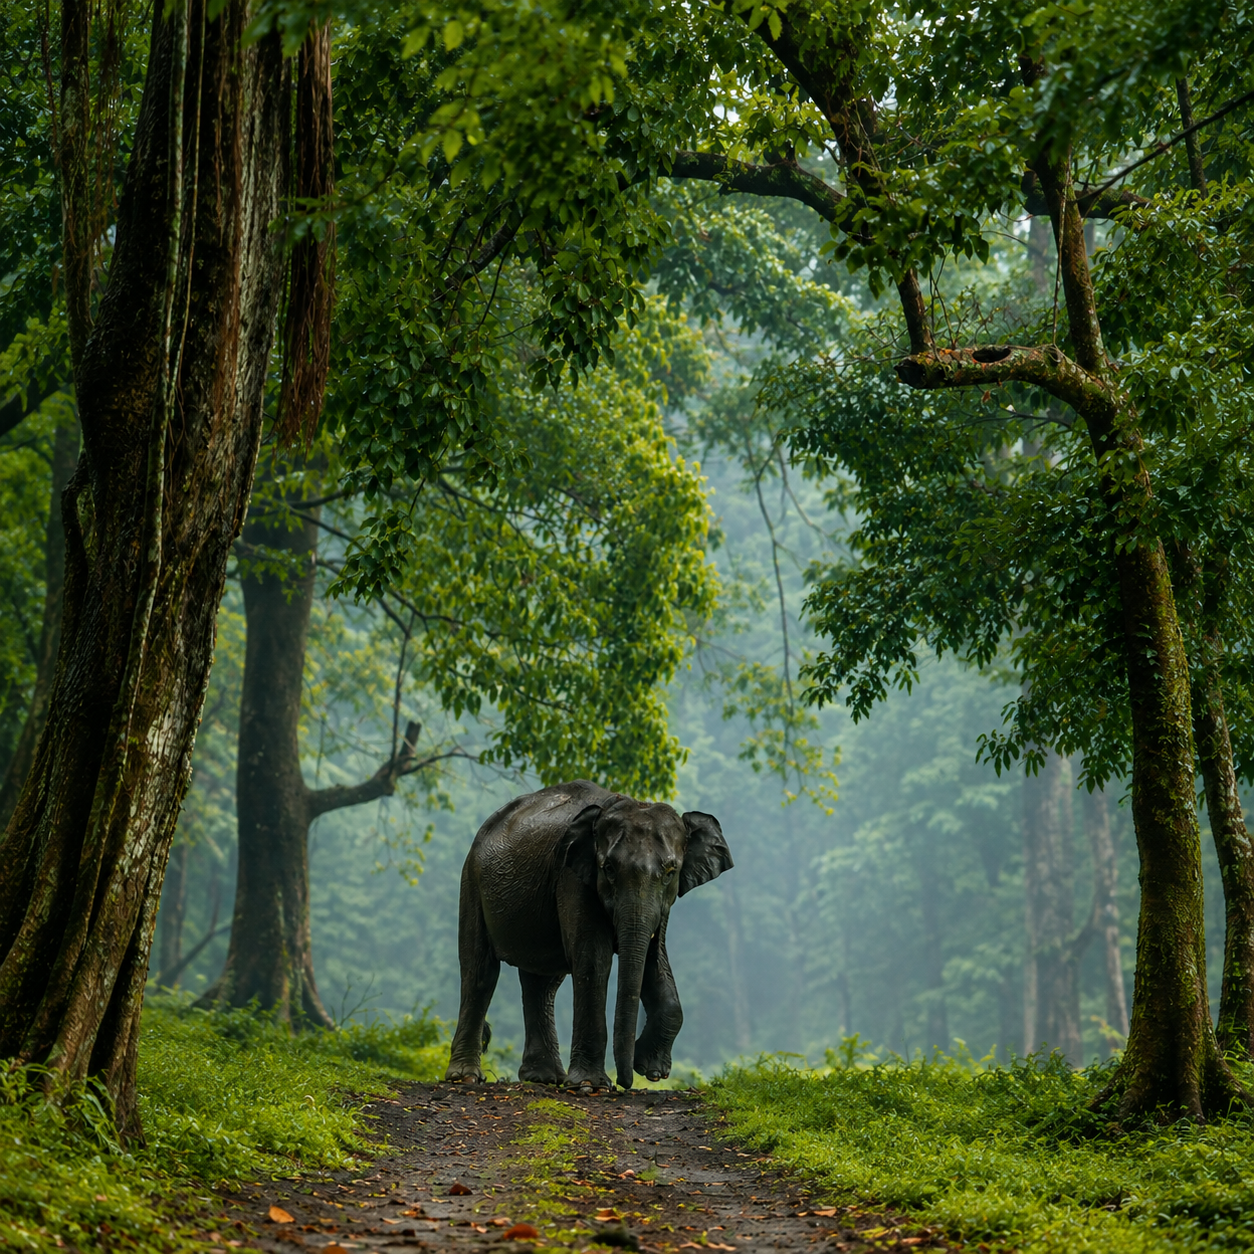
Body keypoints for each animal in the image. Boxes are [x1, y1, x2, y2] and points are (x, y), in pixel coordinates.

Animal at [444, 780, 732, 1089]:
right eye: (609, 869)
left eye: (670, 872)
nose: (625, 1082)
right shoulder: (572, 878)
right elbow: (595, 961)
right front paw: (590, 1085)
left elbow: (656, 961)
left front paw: (651, 1070)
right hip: (471, 880)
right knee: (480, 971)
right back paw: (465, 1077)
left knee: (541, 983)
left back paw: (544, 1078)